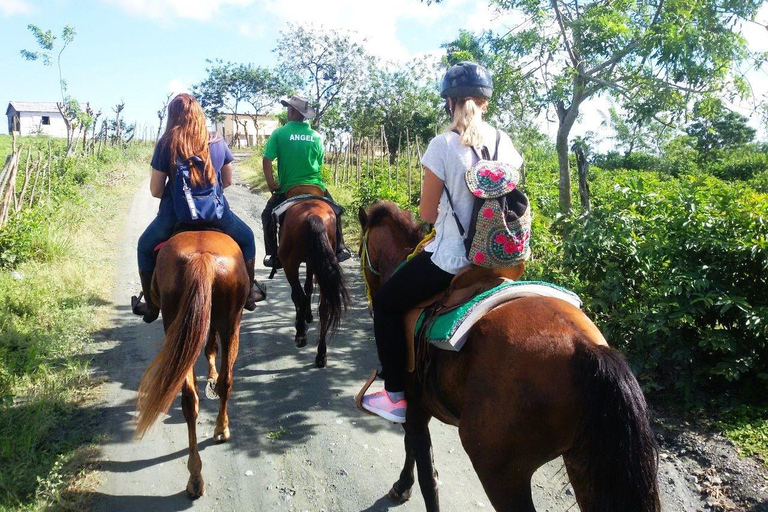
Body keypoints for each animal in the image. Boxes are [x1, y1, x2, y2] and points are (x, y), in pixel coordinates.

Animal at [135, 230, 248, 498]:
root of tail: (202, 257)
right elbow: (211, 348)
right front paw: (212, 375)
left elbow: (210, 347)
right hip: (230, 324)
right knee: (221, 385)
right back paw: (218, 435)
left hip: (180, 328)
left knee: (191, 397)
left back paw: (196, 475)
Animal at [276, 190, 348, 366]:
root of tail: (312, 215)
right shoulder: (311, 261)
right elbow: (308, 286)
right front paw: (308, 315)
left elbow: (300, 294)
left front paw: (302, 321)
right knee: (324, 307)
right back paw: (321, 354)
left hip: (290, 263)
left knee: (298, 296)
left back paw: (301, 335)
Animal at [358, 200, 660, 512]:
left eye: (359, 249)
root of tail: (585, 349)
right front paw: (402, 486)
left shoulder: (416, 407)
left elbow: (425, 474)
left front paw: (403, 485)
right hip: (585, 463)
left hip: (499, 470)